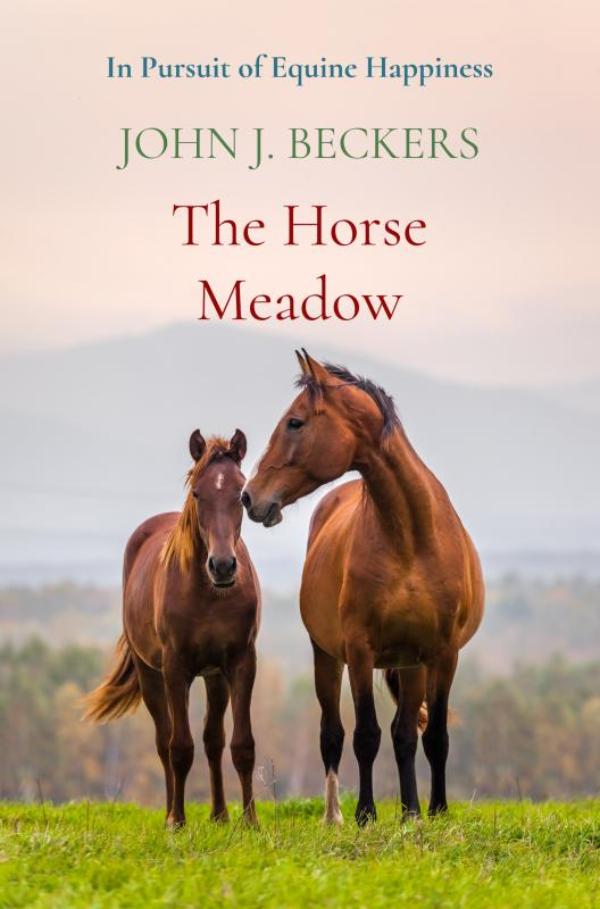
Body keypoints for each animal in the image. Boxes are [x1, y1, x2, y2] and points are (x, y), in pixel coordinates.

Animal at [84, 430, 261, 828]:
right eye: (197, 493)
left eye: (240, 493)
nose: (223, 566)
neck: (209, 594)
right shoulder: (175, 669)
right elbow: (179, 747)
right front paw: (177, 822)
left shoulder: (241, 663)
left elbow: (241, 745)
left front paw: (250, 823)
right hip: (151, 674)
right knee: (164, 740)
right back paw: (170, 813)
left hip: (214, 677)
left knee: (213, 740)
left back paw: (220, 815)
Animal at [242, 350, 484, 825]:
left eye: (295, 422)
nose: (249, 497)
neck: (411, 538)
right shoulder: (358, 650)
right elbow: (365, 735)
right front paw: (365, 814)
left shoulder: (442, 653)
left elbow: (433, 736)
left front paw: (433, 811)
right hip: (327, 657)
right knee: (333, 734)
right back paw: (334, 815)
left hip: (412, 665)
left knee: (405, 733)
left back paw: (410, 811)